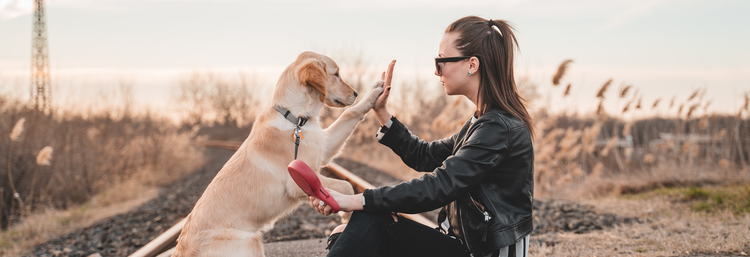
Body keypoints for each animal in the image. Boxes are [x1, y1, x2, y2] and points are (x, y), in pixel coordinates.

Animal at [170, 51, 382, 255]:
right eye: (336, 74)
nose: (355, 93)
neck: (294, 119)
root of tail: (182, 250)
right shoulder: (297, 182)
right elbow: (346, 185)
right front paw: (347, 215)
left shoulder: (325, 145)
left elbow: (350, 113)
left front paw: (374, 91)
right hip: (250, 242)